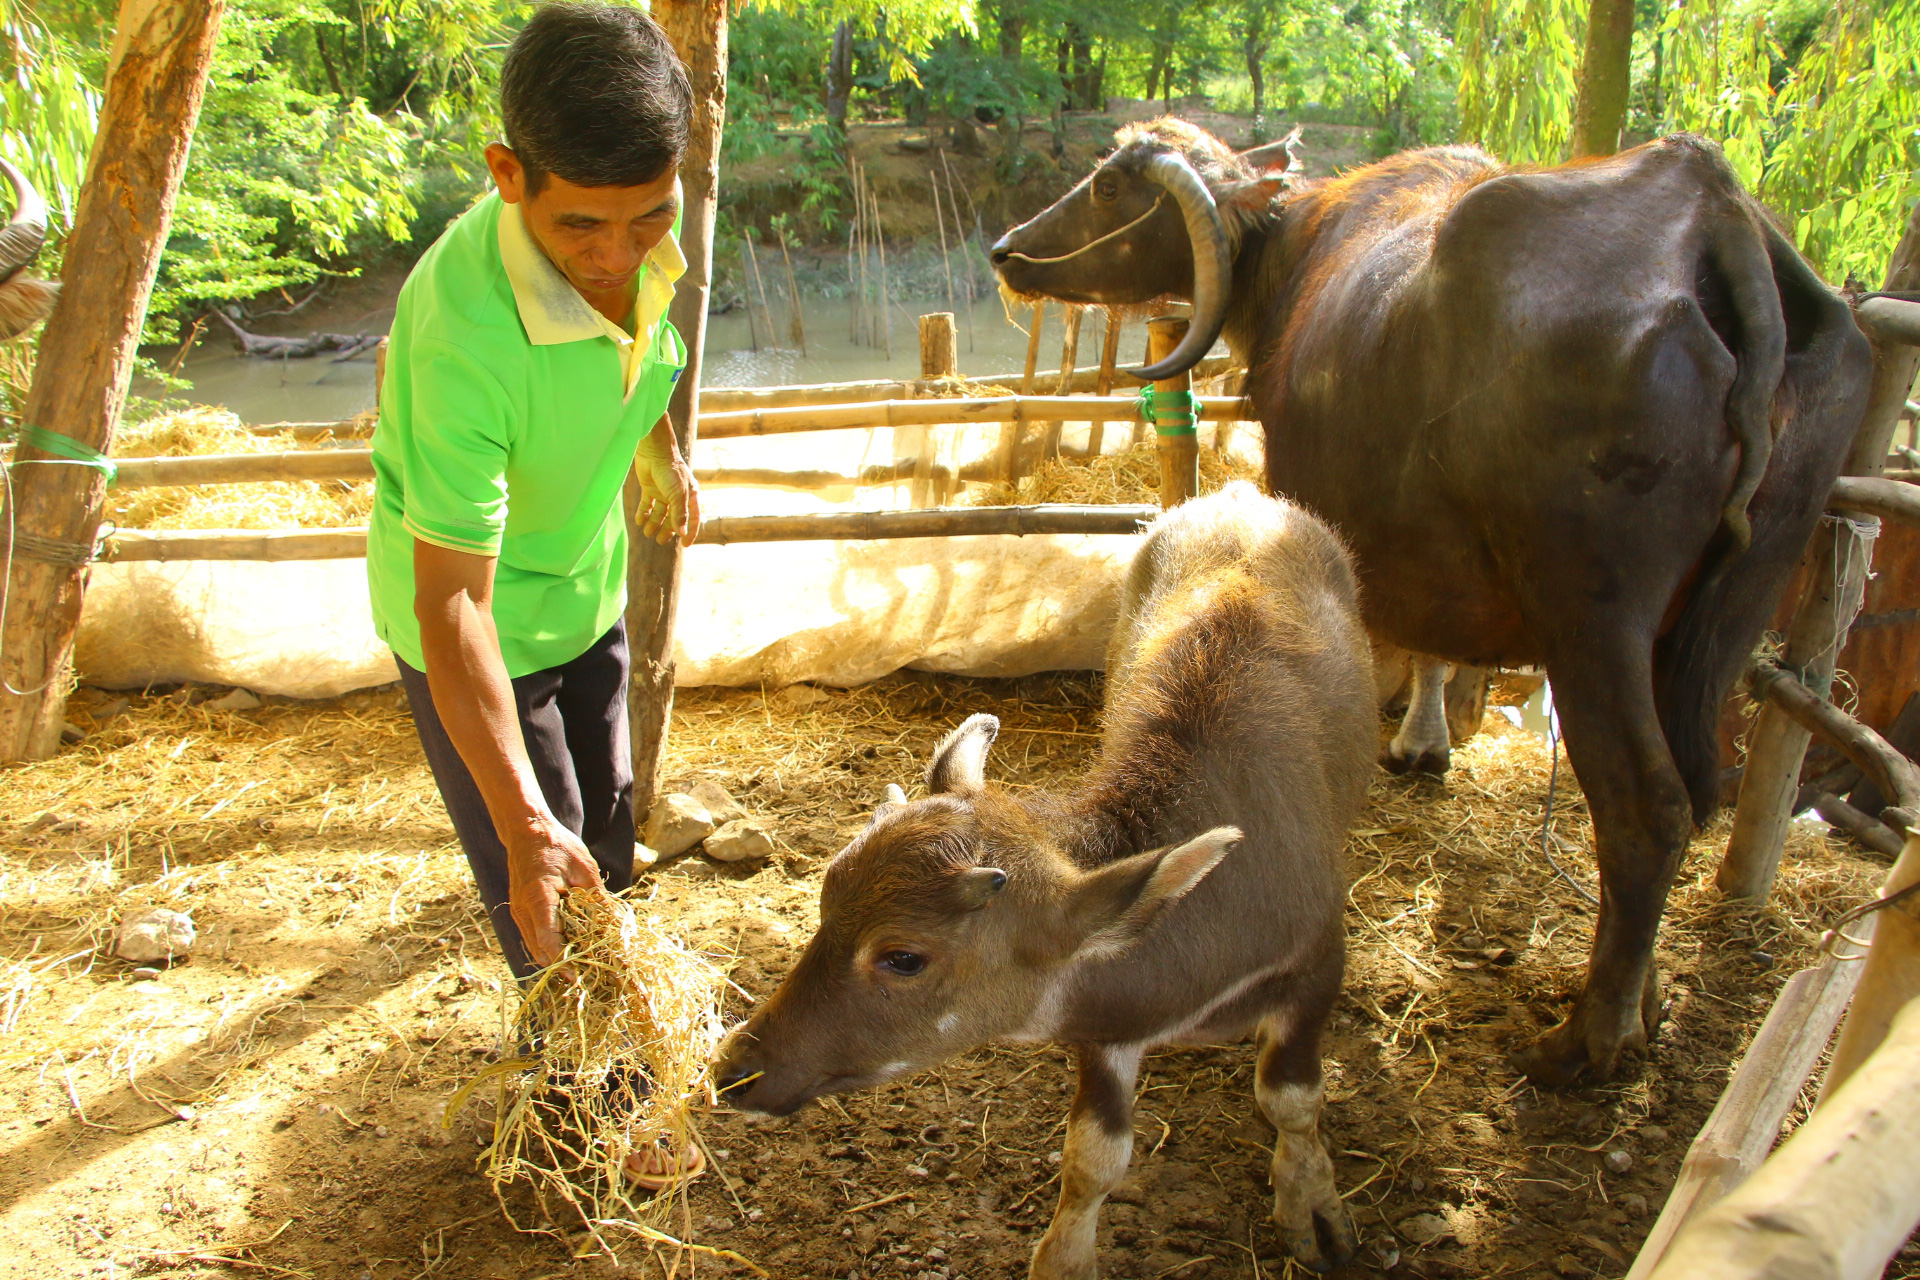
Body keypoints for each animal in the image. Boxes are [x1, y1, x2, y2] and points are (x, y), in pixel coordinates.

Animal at [721, 483, 1382, 1280]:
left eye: (904, 956)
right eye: (824, 905)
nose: (736, 1070)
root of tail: (1241, 493)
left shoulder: (1318, 963)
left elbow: (1292, 1102)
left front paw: (1313, 1212)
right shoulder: (1107, 1028)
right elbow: (1093, 1157)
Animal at [990, 119, 1873, 1090]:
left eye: (1111, 185)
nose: (1007, 248)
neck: (1294, 255)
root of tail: (1712, 215)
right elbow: (1437, 643)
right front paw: (1426, 741)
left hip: (1594, 619)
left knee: (1649, 808)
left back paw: (1588, 1040)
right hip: (1730, 611)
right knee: (1691, 785)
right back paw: (1643, 1001)